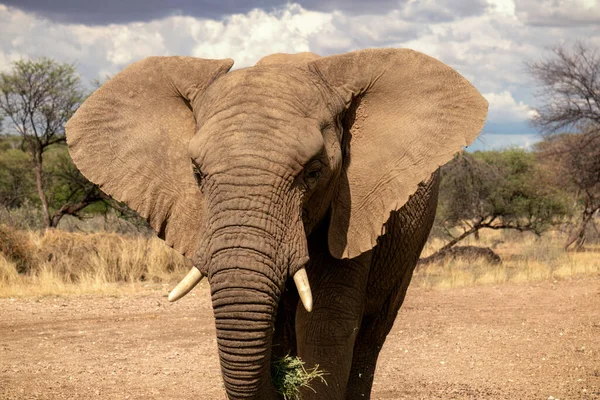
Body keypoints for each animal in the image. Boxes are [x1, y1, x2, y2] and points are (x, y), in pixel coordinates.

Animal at [65, 48, 488, 398]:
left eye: (314, 172)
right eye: (196, 173)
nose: (281, 375)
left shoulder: (352, 209)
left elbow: (324, 326)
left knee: (371, 335)